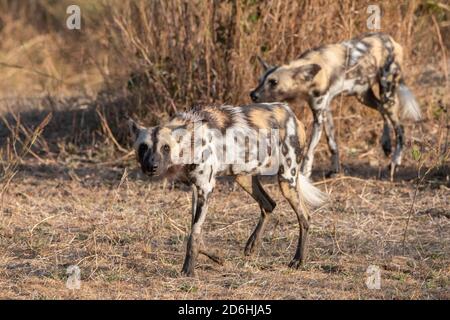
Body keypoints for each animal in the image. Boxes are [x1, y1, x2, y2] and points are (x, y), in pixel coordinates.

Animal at [128, 103, 326, 278]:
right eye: (143, 147)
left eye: (166, 147)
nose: (151, 166)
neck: (191, 143)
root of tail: (292, 114)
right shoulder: (196, 190)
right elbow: (195, 233)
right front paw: (216, 257)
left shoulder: (205, 189)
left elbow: (194, 234)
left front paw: (188, 270)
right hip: (243, 177)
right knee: (269, 204)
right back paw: (252, 245)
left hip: (286, 179)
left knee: (304, 218)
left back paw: (297, 260)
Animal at [250, 33, 422, 181]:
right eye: (260, 80)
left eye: (273, 82)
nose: (252, 95)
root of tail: (391, 40)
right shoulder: (325, 111)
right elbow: (332, 144)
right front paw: (334, 170)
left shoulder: (319, 117)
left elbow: (309, 151)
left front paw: (305, 173)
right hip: (363, 96)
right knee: (381, 109)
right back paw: (386, 144)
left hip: (387, 94)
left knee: (400, 128)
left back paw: (395, 162)